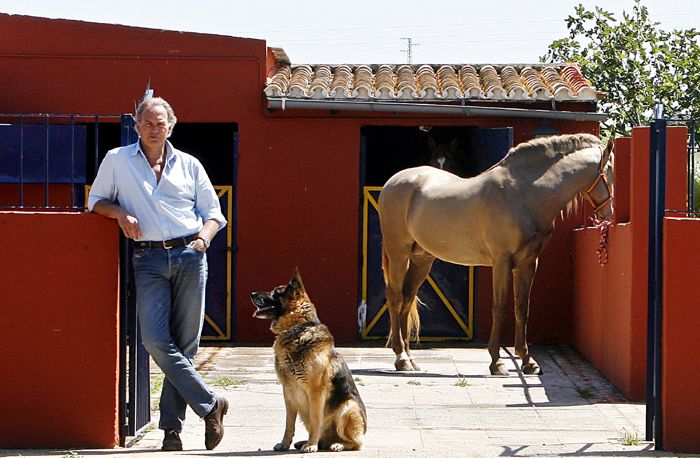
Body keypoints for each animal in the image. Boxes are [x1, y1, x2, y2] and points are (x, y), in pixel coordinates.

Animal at [250, 268, 366, 450]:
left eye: (275, 292)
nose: (252, 293)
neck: (297, 329)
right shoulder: (288, 392)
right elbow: (289, 423)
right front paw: (285, 443)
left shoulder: (315, 391)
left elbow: (316, 421)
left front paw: (311, 445)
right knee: (323, 437)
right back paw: (310, 442)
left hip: (348, 408)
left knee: (355, 443)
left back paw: (337, 445)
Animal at [378, 133, 612, 376]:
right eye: (609, 171)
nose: (607, 214)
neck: (522, 194)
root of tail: (392, 182)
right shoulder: (502, 262)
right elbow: (499, 308)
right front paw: (497, 362)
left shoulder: (528, 264)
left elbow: (522, 308)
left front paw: (527, 360)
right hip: (398, 253)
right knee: (395, 297)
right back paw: (401, 358)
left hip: (422, 259)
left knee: (407, 298)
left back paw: (410, 359)